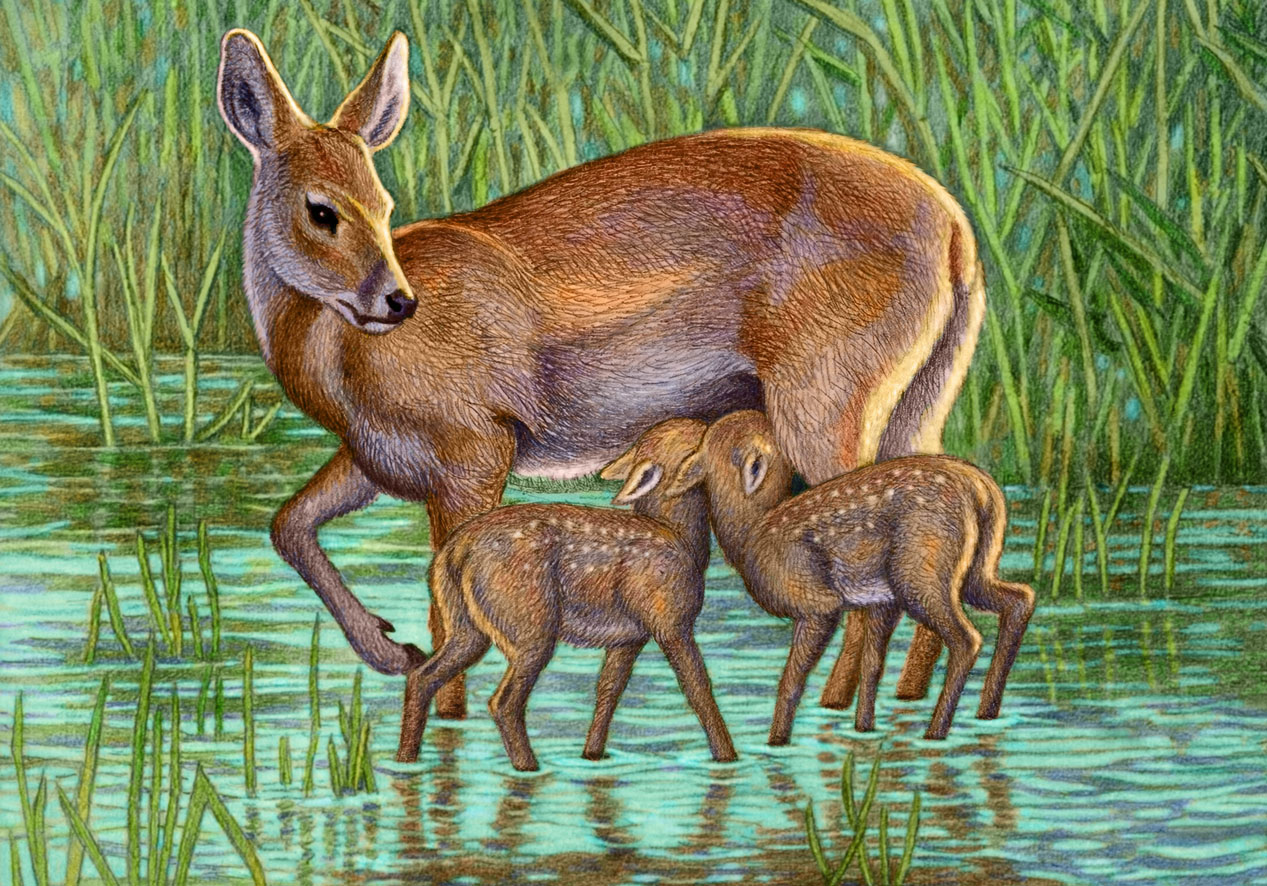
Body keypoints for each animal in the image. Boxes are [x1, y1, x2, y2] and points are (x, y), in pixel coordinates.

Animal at [216, 28, 985, 720]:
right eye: (322, 210)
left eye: (383, 206)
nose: (398, 300)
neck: (338, 355)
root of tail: (957, 233)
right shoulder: (375, 456)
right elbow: (289, 524)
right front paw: (386, 648)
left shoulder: (473, 448)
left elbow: (446, 601)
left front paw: (439, 711)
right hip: (917, 400)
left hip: (825, 397)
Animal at [395, 418, 736, 771]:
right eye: (699, 442)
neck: (682, 537)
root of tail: (453, 552)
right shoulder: (671, 622)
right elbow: (698, 688)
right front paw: (727, 757)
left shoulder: (628, 637)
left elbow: (608, 691)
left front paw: (593, 755)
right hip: (529, 623)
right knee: (503, 702)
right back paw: (529, 767)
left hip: (465, 625)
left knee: (422, 677)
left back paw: (406, 759)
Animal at [667, 410, 1035, 742]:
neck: (749, 535)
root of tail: (983, 488)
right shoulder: (882, 600)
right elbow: (871, 666)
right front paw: (864, 730)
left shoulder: (816, 601)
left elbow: (791, 681)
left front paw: (777, 741)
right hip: (973, 569)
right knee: (1021, 597)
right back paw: (987, 712)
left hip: (920, 569)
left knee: (966, 638)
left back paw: (936, 731)